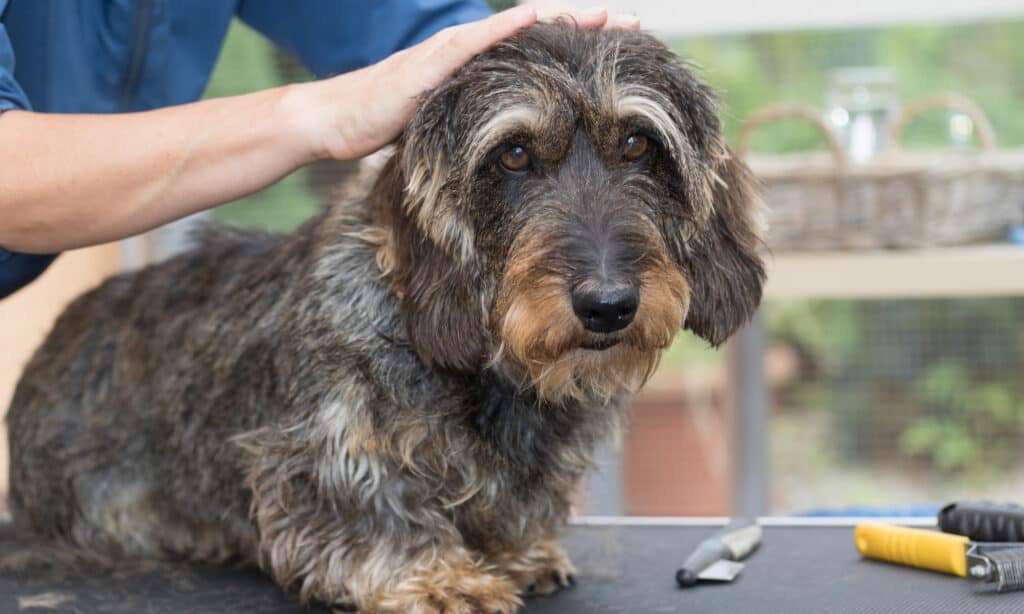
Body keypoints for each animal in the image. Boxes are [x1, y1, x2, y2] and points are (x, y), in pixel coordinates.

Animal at [6, 22, 761, 614]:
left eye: (638, 145)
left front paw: (515, 551)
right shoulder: (320, 448)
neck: (493, 376)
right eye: (513, 154)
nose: (608, 305)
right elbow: (369, 502)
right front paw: (432, 577)